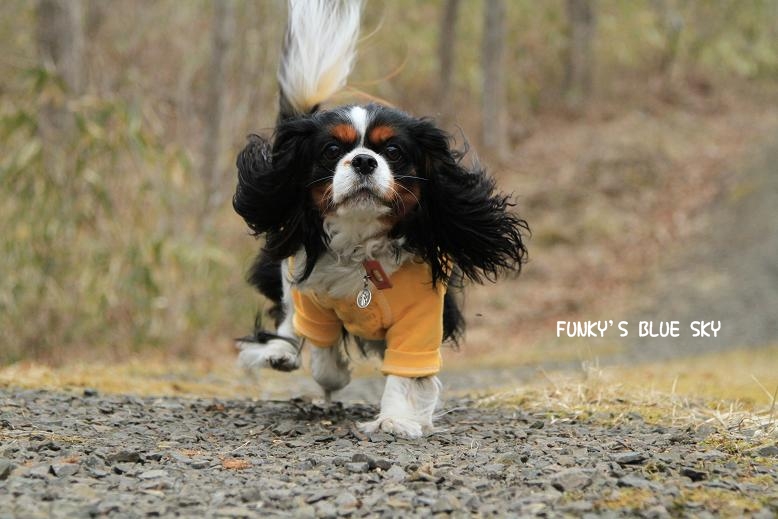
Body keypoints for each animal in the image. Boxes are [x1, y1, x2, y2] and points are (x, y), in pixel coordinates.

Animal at [229, 0, 520, 438]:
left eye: (394, 152)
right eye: (332, 150)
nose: (365, 160)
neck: (361, 248)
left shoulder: (422, 319)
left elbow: (405, 374)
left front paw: (395, 419)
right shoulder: (313, 294)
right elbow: (323, 351)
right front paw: (330, 370)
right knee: (288, 314)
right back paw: (280, 351)